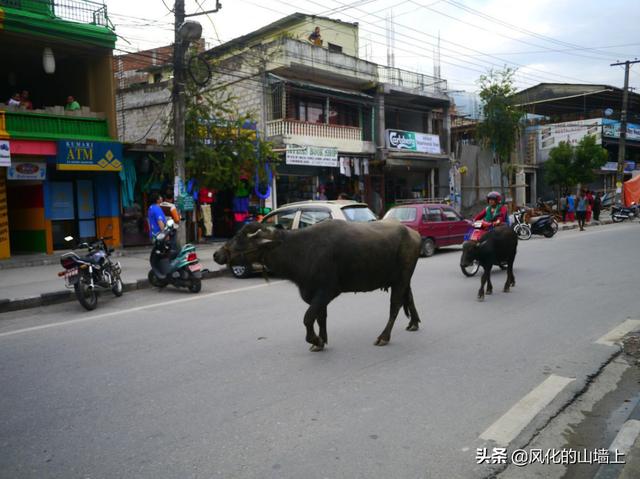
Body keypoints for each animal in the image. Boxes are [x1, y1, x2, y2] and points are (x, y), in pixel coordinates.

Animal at [215, 222, 422, 352]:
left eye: (240, 239)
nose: (217, 254)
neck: (300, 250)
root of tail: (414, 233)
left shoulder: (327, 291)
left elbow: (308, 317)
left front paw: (315, 339)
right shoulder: (316, 294)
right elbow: (321, 317)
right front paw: (321, 341)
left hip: (401, 279)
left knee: (395, 306)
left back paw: (384, 337)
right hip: (402, 279)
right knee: (409, 297)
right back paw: (413, 323)